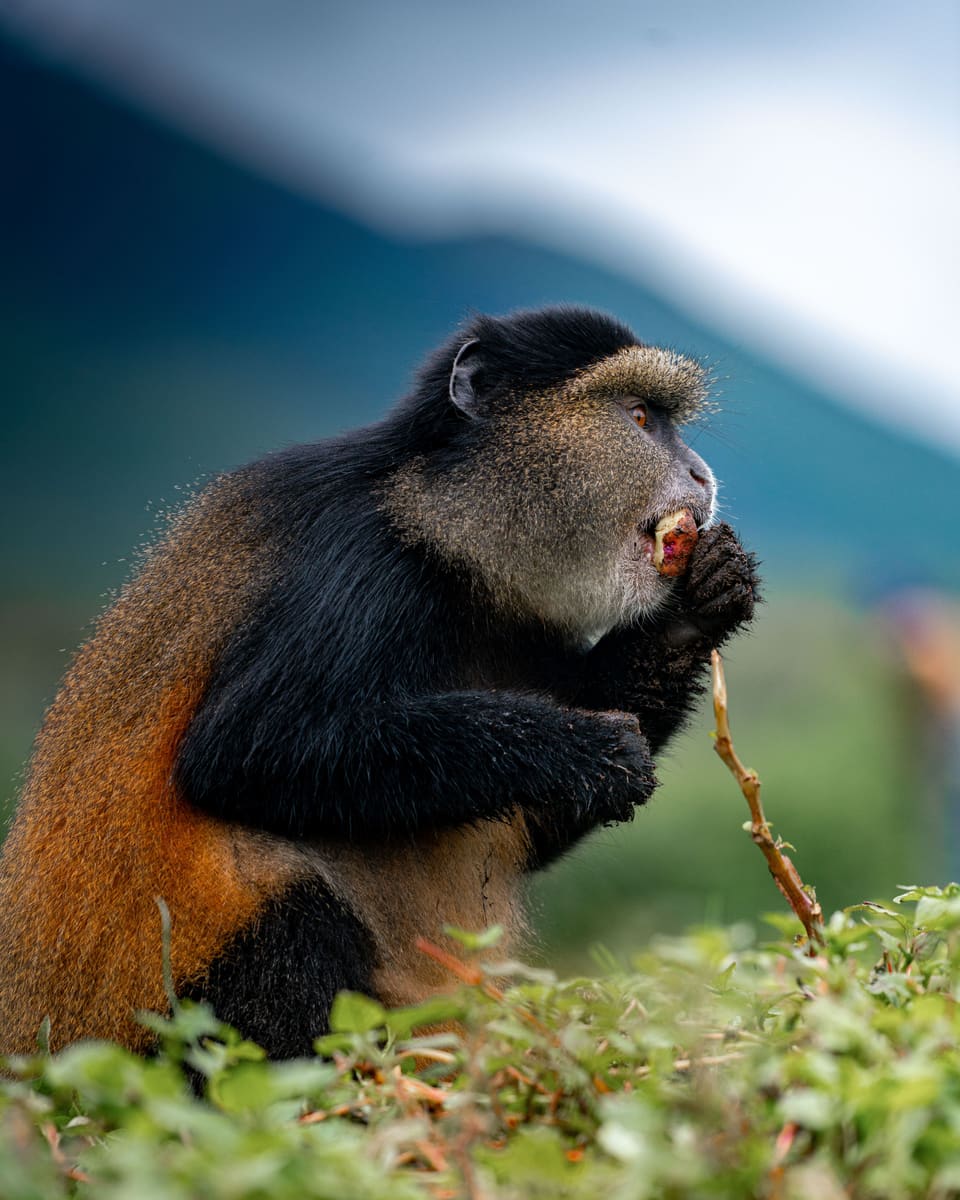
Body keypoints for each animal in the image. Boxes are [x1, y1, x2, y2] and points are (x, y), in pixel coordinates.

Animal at [0, 306, 759, 1060]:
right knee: (285, 903)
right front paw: (582, 751)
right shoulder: (359, 559)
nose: (700, 474)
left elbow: (534, 825)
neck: (438, 524)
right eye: (639, 416)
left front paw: (692, 610)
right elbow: (247, 750)